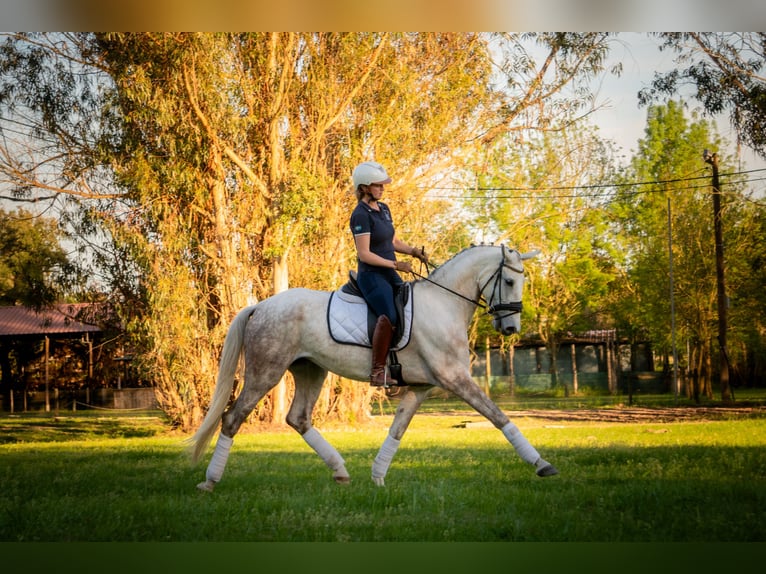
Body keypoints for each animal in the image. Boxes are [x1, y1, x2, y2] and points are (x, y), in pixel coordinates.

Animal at [190, 244, 558, 491]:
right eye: (509, 282)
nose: (510, 328)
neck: (444, 304)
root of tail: (261, 305)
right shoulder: (455, 379)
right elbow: (499, 418)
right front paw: (542, 464)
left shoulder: (421, 387)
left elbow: (397, 429)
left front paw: (378, 475)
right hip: (265, 372)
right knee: (232, 418)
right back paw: (210, 481)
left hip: (311, 370)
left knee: (298, 418)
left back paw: (340, 471)